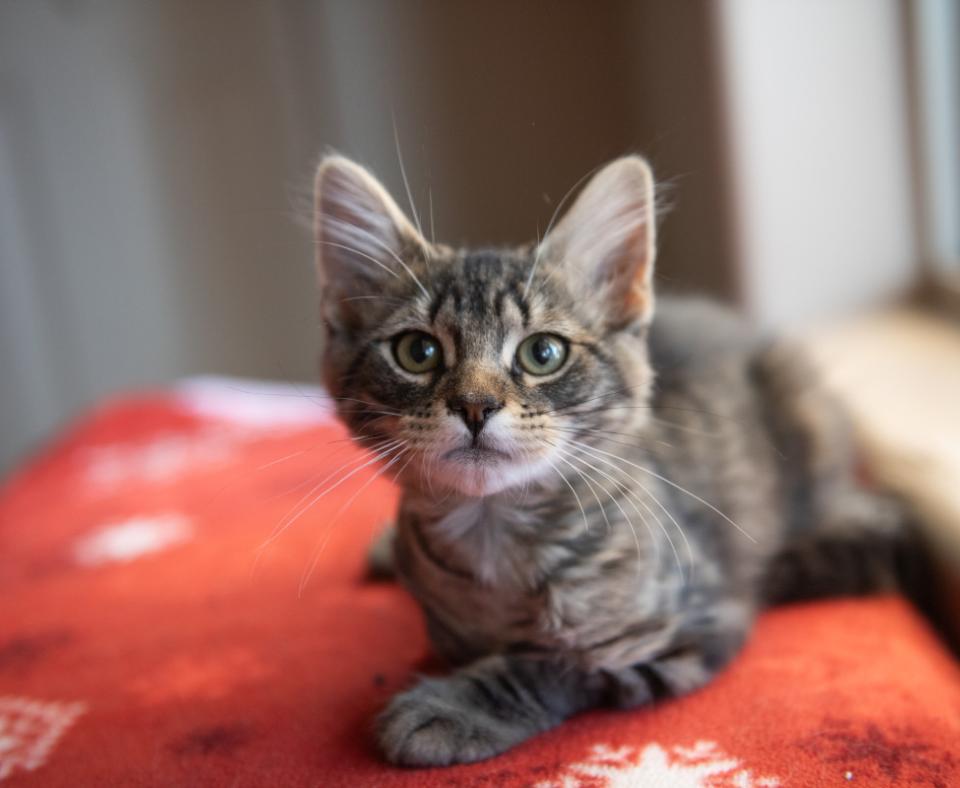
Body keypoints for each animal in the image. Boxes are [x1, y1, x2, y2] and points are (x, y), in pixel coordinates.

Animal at [314, 152, 908, 764]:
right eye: (418, 352)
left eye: (543, 352)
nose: (475, 405)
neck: (492, 533)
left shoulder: (691, 630)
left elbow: (552, 663)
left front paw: (449, 709)